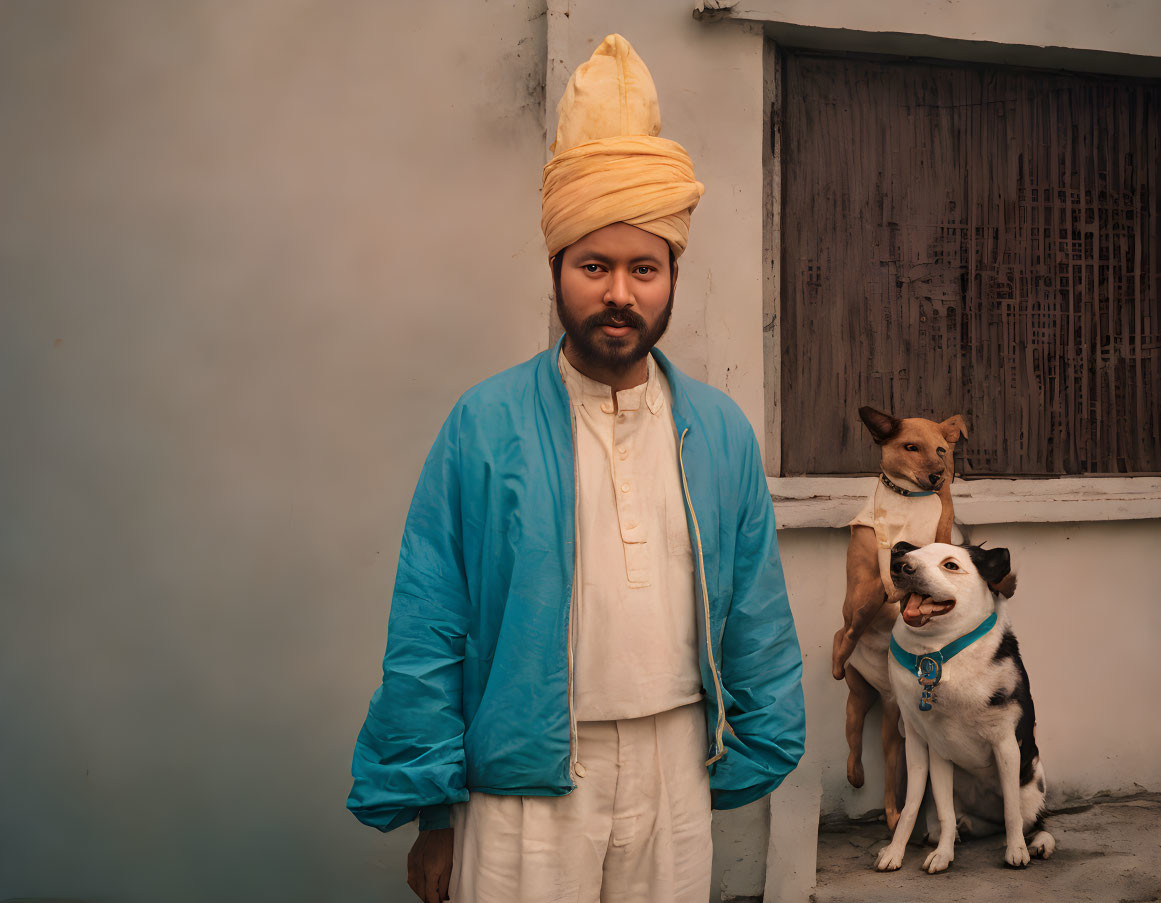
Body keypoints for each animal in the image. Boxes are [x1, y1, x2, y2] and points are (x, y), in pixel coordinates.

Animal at [831, 408, 965, 831]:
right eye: (911, 447)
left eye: (941, 450)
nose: (938, 475)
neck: (909, 500)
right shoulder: (865, 576)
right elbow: (860, 611)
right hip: (856, 700)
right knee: (853, 737)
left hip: (889, 718)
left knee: (888, 769)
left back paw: (891, 813)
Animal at [873, 538, 1058, 868]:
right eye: (911, 553)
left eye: (950, 565)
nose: (901, 564)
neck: (937, 653)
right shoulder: (931, 749)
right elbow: (921, 809)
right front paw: (930, 853)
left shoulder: (1005, 744)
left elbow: (1011, 812)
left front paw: (1016, 851)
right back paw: (957, 831)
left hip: (1032, 783)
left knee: (1033, 822)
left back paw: (1037, 844)